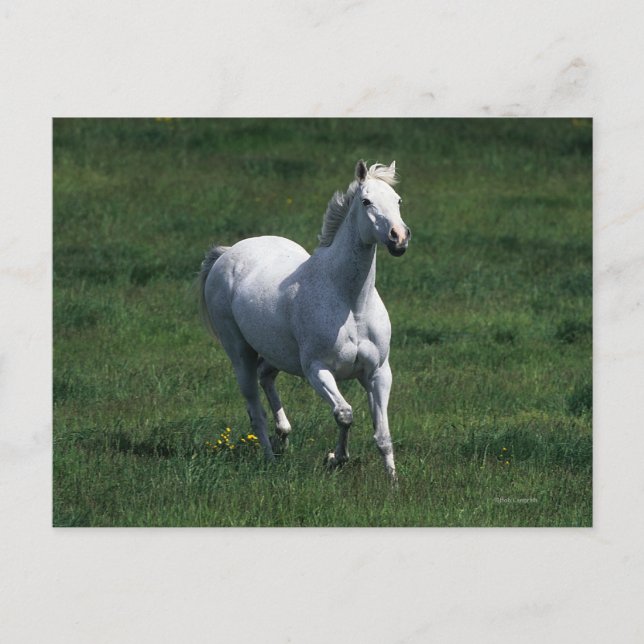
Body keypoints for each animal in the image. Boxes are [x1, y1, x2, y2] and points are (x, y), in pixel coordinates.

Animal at [198, 160, 410, 479]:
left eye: (397, 200)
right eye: (366, 201)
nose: (399, 237)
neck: (351, 304)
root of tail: (227, 253)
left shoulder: (378, 373)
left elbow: (383, 435)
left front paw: (393, 481)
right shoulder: (317, 370)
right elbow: (345, 414)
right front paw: (336, 458)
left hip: (277, 353)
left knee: (266, 376)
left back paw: (283, 437)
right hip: (239, 353)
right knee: (255, 409)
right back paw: (270, 458)